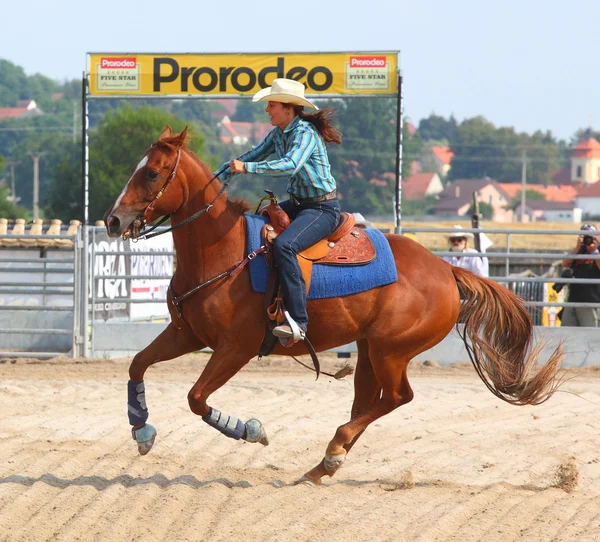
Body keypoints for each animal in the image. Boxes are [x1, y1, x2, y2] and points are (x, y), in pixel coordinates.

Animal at [104, 126, 564, 484]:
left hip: (391, 350)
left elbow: (196, 398)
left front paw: (251, 430)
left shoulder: (235, 348)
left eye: (151, 172)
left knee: (397, 397)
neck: (224, 250)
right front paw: (141, 431)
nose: (112, 221)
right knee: (368, 401)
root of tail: (447, 271)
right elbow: (137, 364)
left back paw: (333, 449)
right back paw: (325, 463)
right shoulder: (186, 333)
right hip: (368, 350)